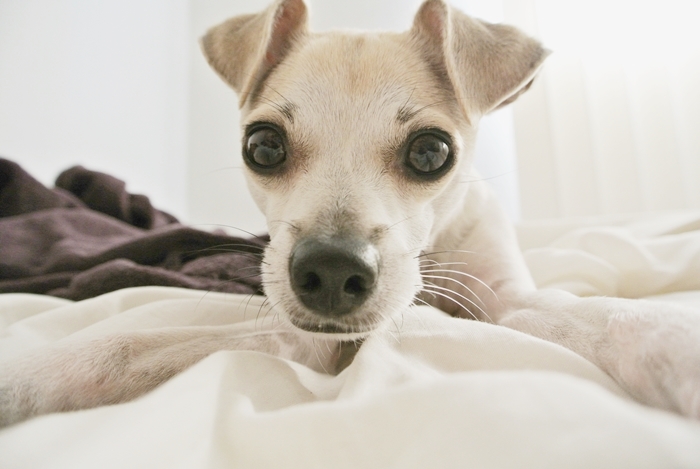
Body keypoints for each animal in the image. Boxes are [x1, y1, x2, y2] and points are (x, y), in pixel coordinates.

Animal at [1, 0, 700, 426]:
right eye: (263, 146)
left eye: (431, 152)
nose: (332, 273)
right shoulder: (304, 338)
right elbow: (122, 346)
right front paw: (25, 379)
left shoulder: (507, 300)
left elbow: (603, 316)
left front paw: (673, 345)